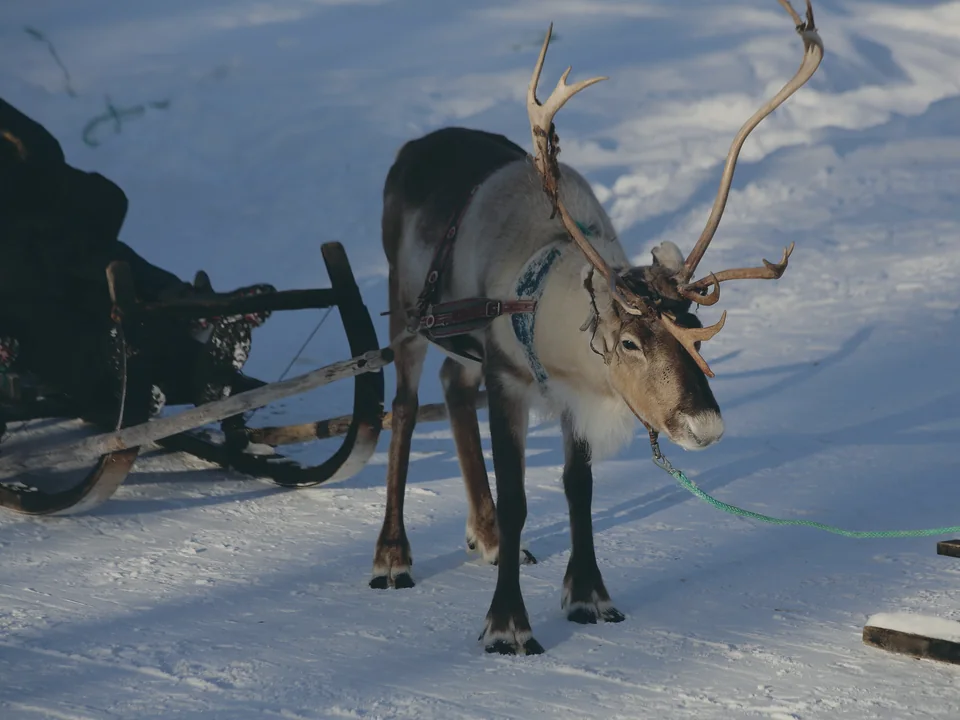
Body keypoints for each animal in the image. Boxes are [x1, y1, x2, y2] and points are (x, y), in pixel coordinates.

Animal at [370, 0, 823, 655]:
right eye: (631, 341)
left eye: (693, 324)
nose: (707, 427)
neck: (539, 294)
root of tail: (412, 146)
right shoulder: (508, 381)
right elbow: (519, 497)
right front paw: (507, 624)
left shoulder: (576, 395)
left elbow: (576, 486)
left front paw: (588, 595)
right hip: (406, 308)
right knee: (404, 409)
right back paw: (393, 556)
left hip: (457, 340)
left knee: (453, 389)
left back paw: (487, 538)